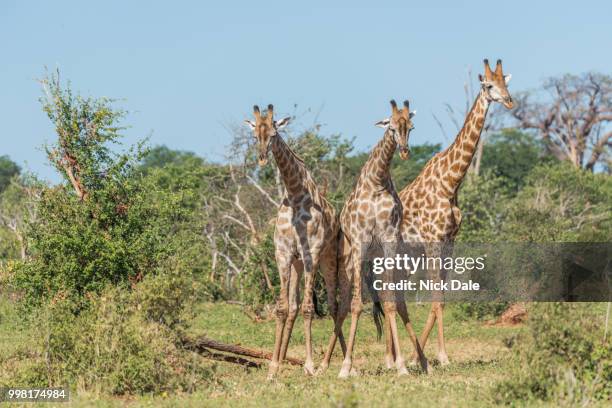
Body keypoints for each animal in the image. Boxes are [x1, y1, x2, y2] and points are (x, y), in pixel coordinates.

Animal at [246, 103, 346, 378]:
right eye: (255, 135)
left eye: (273, 134)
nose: (261, 158)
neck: (294, 194)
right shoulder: (283, 254)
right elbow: (283, 308)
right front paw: (273, 367)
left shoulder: (312, 254)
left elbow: (309, 308)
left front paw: (309, 365)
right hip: (297, 264)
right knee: (293, 306)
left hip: (329, 261)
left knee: (334, 305)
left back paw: (329, 363)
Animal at [322, 99, 428, 380]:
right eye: (390, 127)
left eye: (410, 127)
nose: (404, 151)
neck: (377, 181)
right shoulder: (360, 242)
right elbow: (357, 305)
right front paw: (346, 367)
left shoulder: (389, 241)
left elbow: (390, 303)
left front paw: (402, 366)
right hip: (349, 265)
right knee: (344, 305)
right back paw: (325, 364)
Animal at [396, 58, 512, 366]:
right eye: (488, 85)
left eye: (506, 83)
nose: (509, 101)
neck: (451, 182)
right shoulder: (432, 240)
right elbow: (435, 297)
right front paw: (442, 357)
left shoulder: (450, 241)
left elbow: (442, 299)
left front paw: (421, 357)